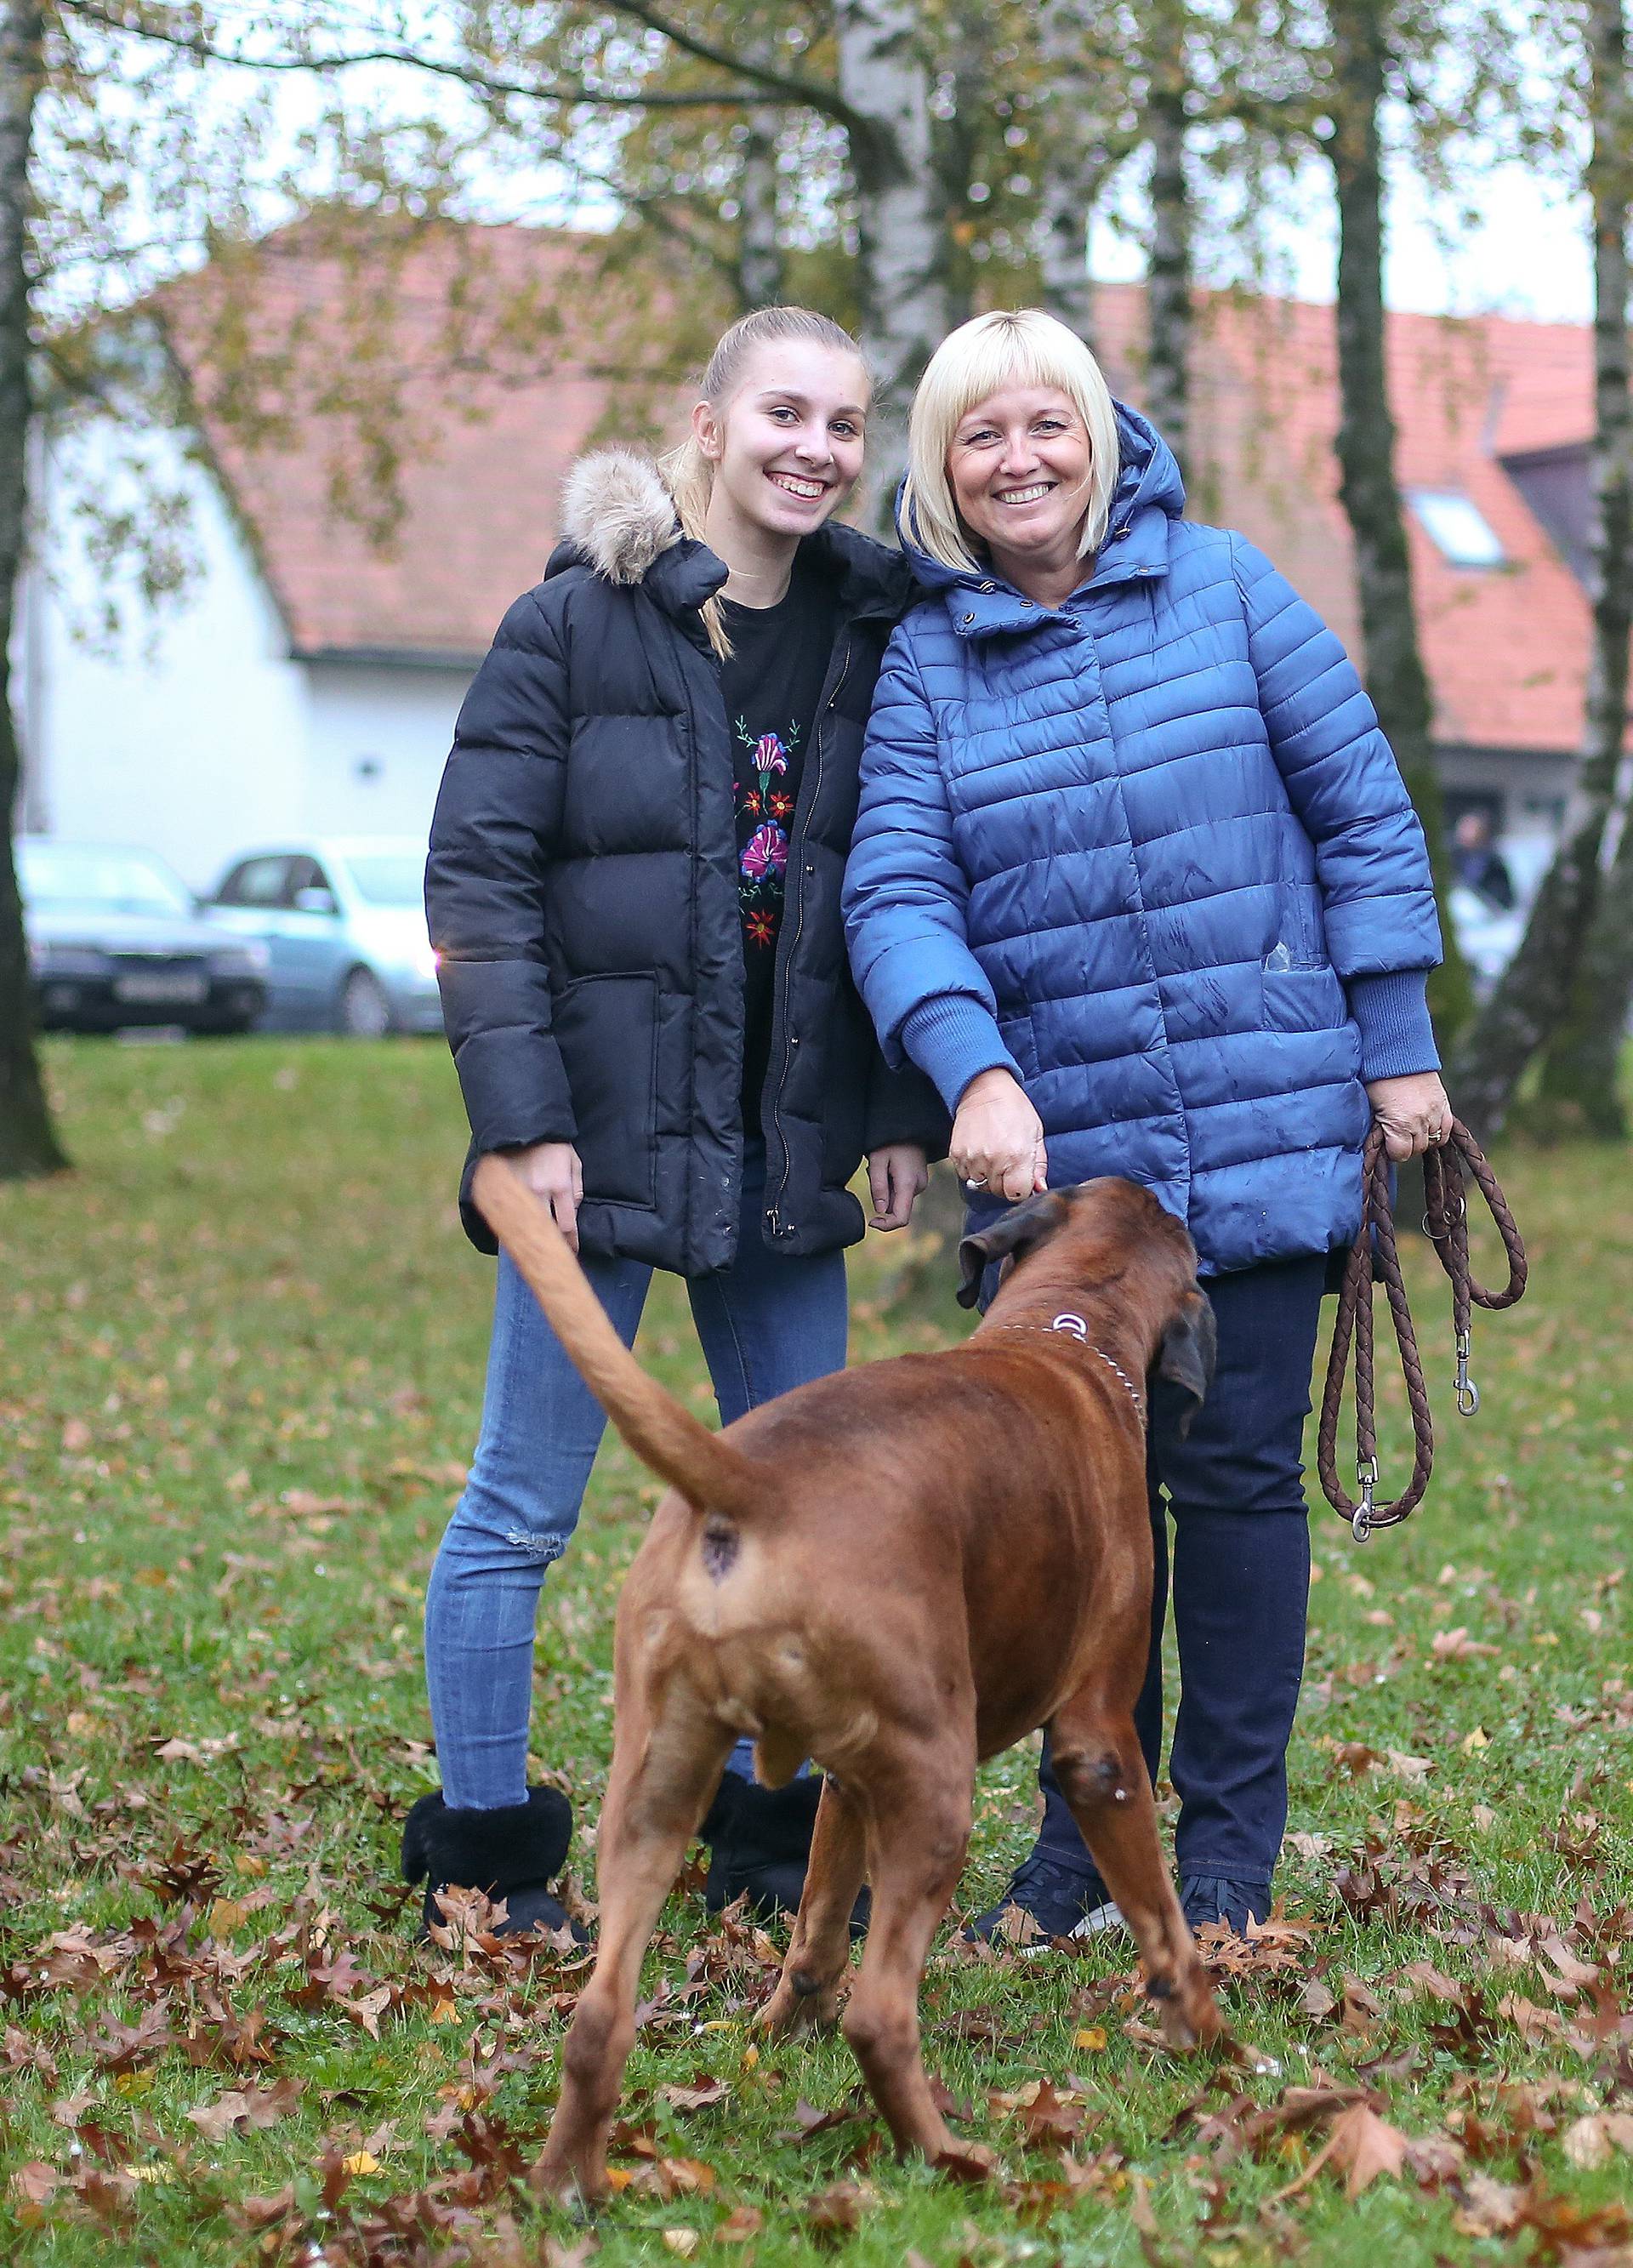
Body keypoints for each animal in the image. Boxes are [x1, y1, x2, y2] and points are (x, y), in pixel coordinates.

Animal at [464, 1160, 1215, 2186]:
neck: (1068, 1330)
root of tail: (755, 1484)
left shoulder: (851, 1782)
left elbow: (817, 1925)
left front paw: (782, 2029)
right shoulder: (1098, 1748)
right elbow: (1161, 1918)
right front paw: (1206, 2030)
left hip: (656, 1792)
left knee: (597, 2019)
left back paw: (563, 2184)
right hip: (938, 1794)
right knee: (881, 2017)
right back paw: (950, 2157)